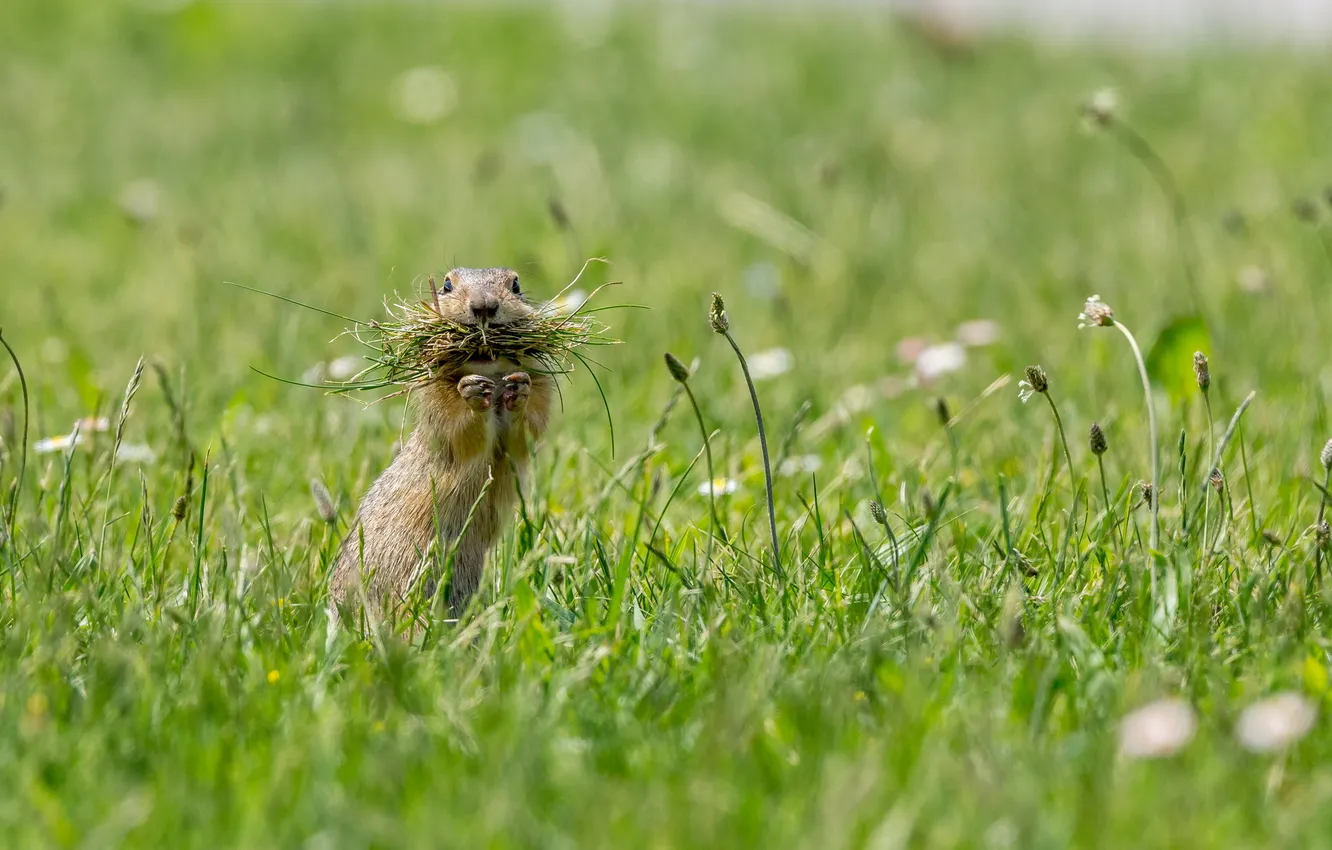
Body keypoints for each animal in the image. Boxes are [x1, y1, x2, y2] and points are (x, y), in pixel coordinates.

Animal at [330, 269, 554, 628]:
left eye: (516, 284)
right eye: (447, 285)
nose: (483, 306)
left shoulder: (542, 387)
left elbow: (527, 432)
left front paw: (519, 390)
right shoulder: (436, 397)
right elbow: (458, 427)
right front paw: (472, 392)